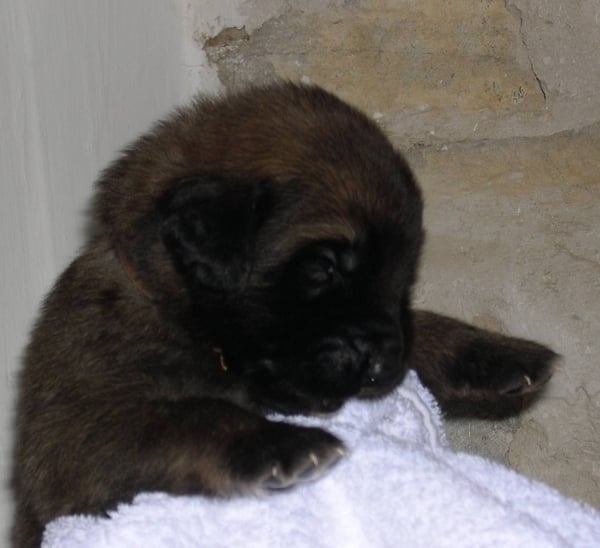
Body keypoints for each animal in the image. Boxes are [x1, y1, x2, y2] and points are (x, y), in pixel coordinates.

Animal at [12, 82, 556, 547]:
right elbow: (187, 415)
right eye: (323, 268)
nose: (385, 362)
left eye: (402, 276)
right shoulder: (75, 442)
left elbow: (423, 325)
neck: (180, 317)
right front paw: (280, 443)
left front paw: (492, 352)